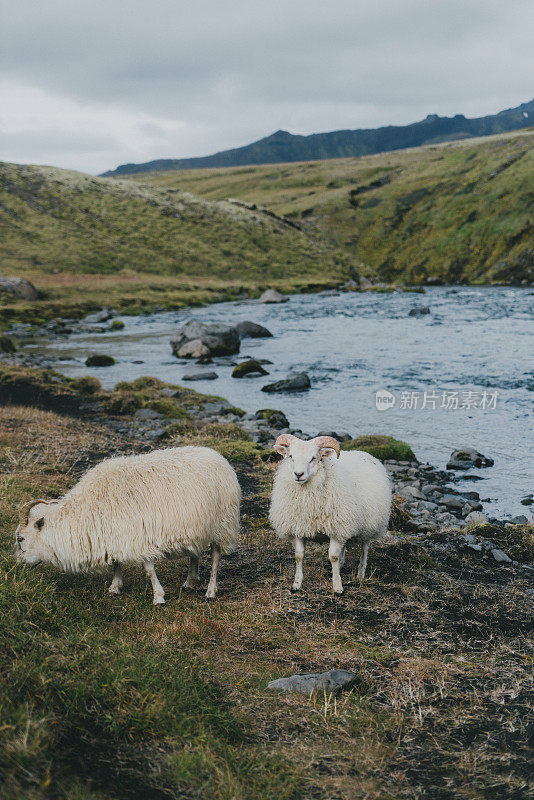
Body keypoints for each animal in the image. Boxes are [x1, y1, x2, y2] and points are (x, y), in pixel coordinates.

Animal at [14, 446, 242, 604]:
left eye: (20, 538)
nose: (17, 566)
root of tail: (218, 456)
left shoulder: (139, 538)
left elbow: (149, 570)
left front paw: (158, 597)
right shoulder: (116, 535)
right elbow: (116, 563)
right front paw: (115, 587)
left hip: (222, 524)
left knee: (215, 557)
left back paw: (210, 591)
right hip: (198, 526)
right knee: (194, 553)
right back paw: (189, 582)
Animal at [270, 432, 392, 592]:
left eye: (314, 458)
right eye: (290, 456)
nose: (298, 474)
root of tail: (364, 453)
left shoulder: (336, 529)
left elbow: (333, 556)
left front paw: (337, 586)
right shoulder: (300, 528)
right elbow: (299, 556)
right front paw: (297, 584)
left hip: (369, 525)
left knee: (364, 548)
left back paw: (360, 574)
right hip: (346, 523)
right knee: (344, 546)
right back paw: (342, 564)